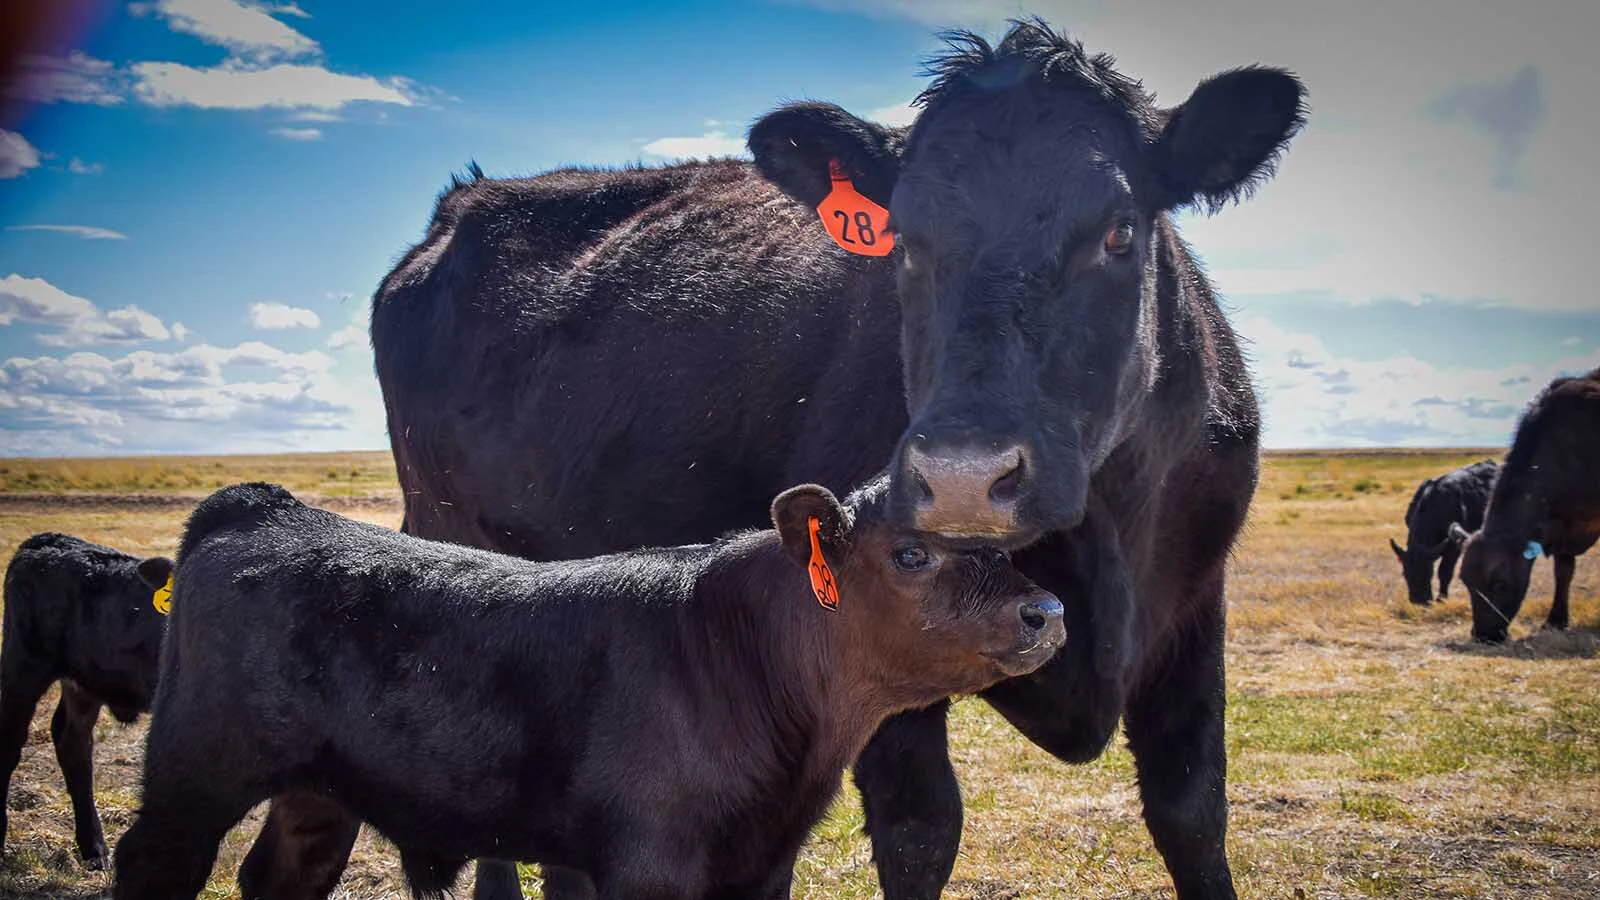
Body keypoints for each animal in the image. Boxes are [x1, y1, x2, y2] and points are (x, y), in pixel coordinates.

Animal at [0, 533, 173, 868]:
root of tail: (47, 540)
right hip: (21, 667)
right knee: (9, 746)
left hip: (83, 685)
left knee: (73, 743)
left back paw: (94, 848)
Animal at [110, 480, 1065, 900]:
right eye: (911, 554)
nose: (1047, 609)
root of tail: (260, 506)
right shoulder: (649, 863)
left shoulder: (763, 864)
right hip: (195, 772)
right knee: (153, 861)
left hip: (315, 789)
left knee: (280, 875)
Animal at [358, 19, 1305, 900]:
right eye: (906, 240)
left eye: (1119, 231)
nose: (964, 478)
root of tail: (460, 207)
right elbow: (921, 830)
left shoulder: (1194, 605)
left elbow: (1192, 808)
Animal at [1389, 460, 1498, 606]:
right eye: (1405, 573)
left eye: (1429, 572)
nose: (1419, 601)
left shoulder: (1453, 547)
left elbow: (1445, 571)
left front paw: (1441, 598)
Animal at [1457, 368, 1600, 643]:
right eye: (1466, 582)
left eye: (1500, 583)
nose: (1483, 635)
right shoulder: (1562, 523)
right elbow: (1563, 571)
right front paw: (1555, 620)